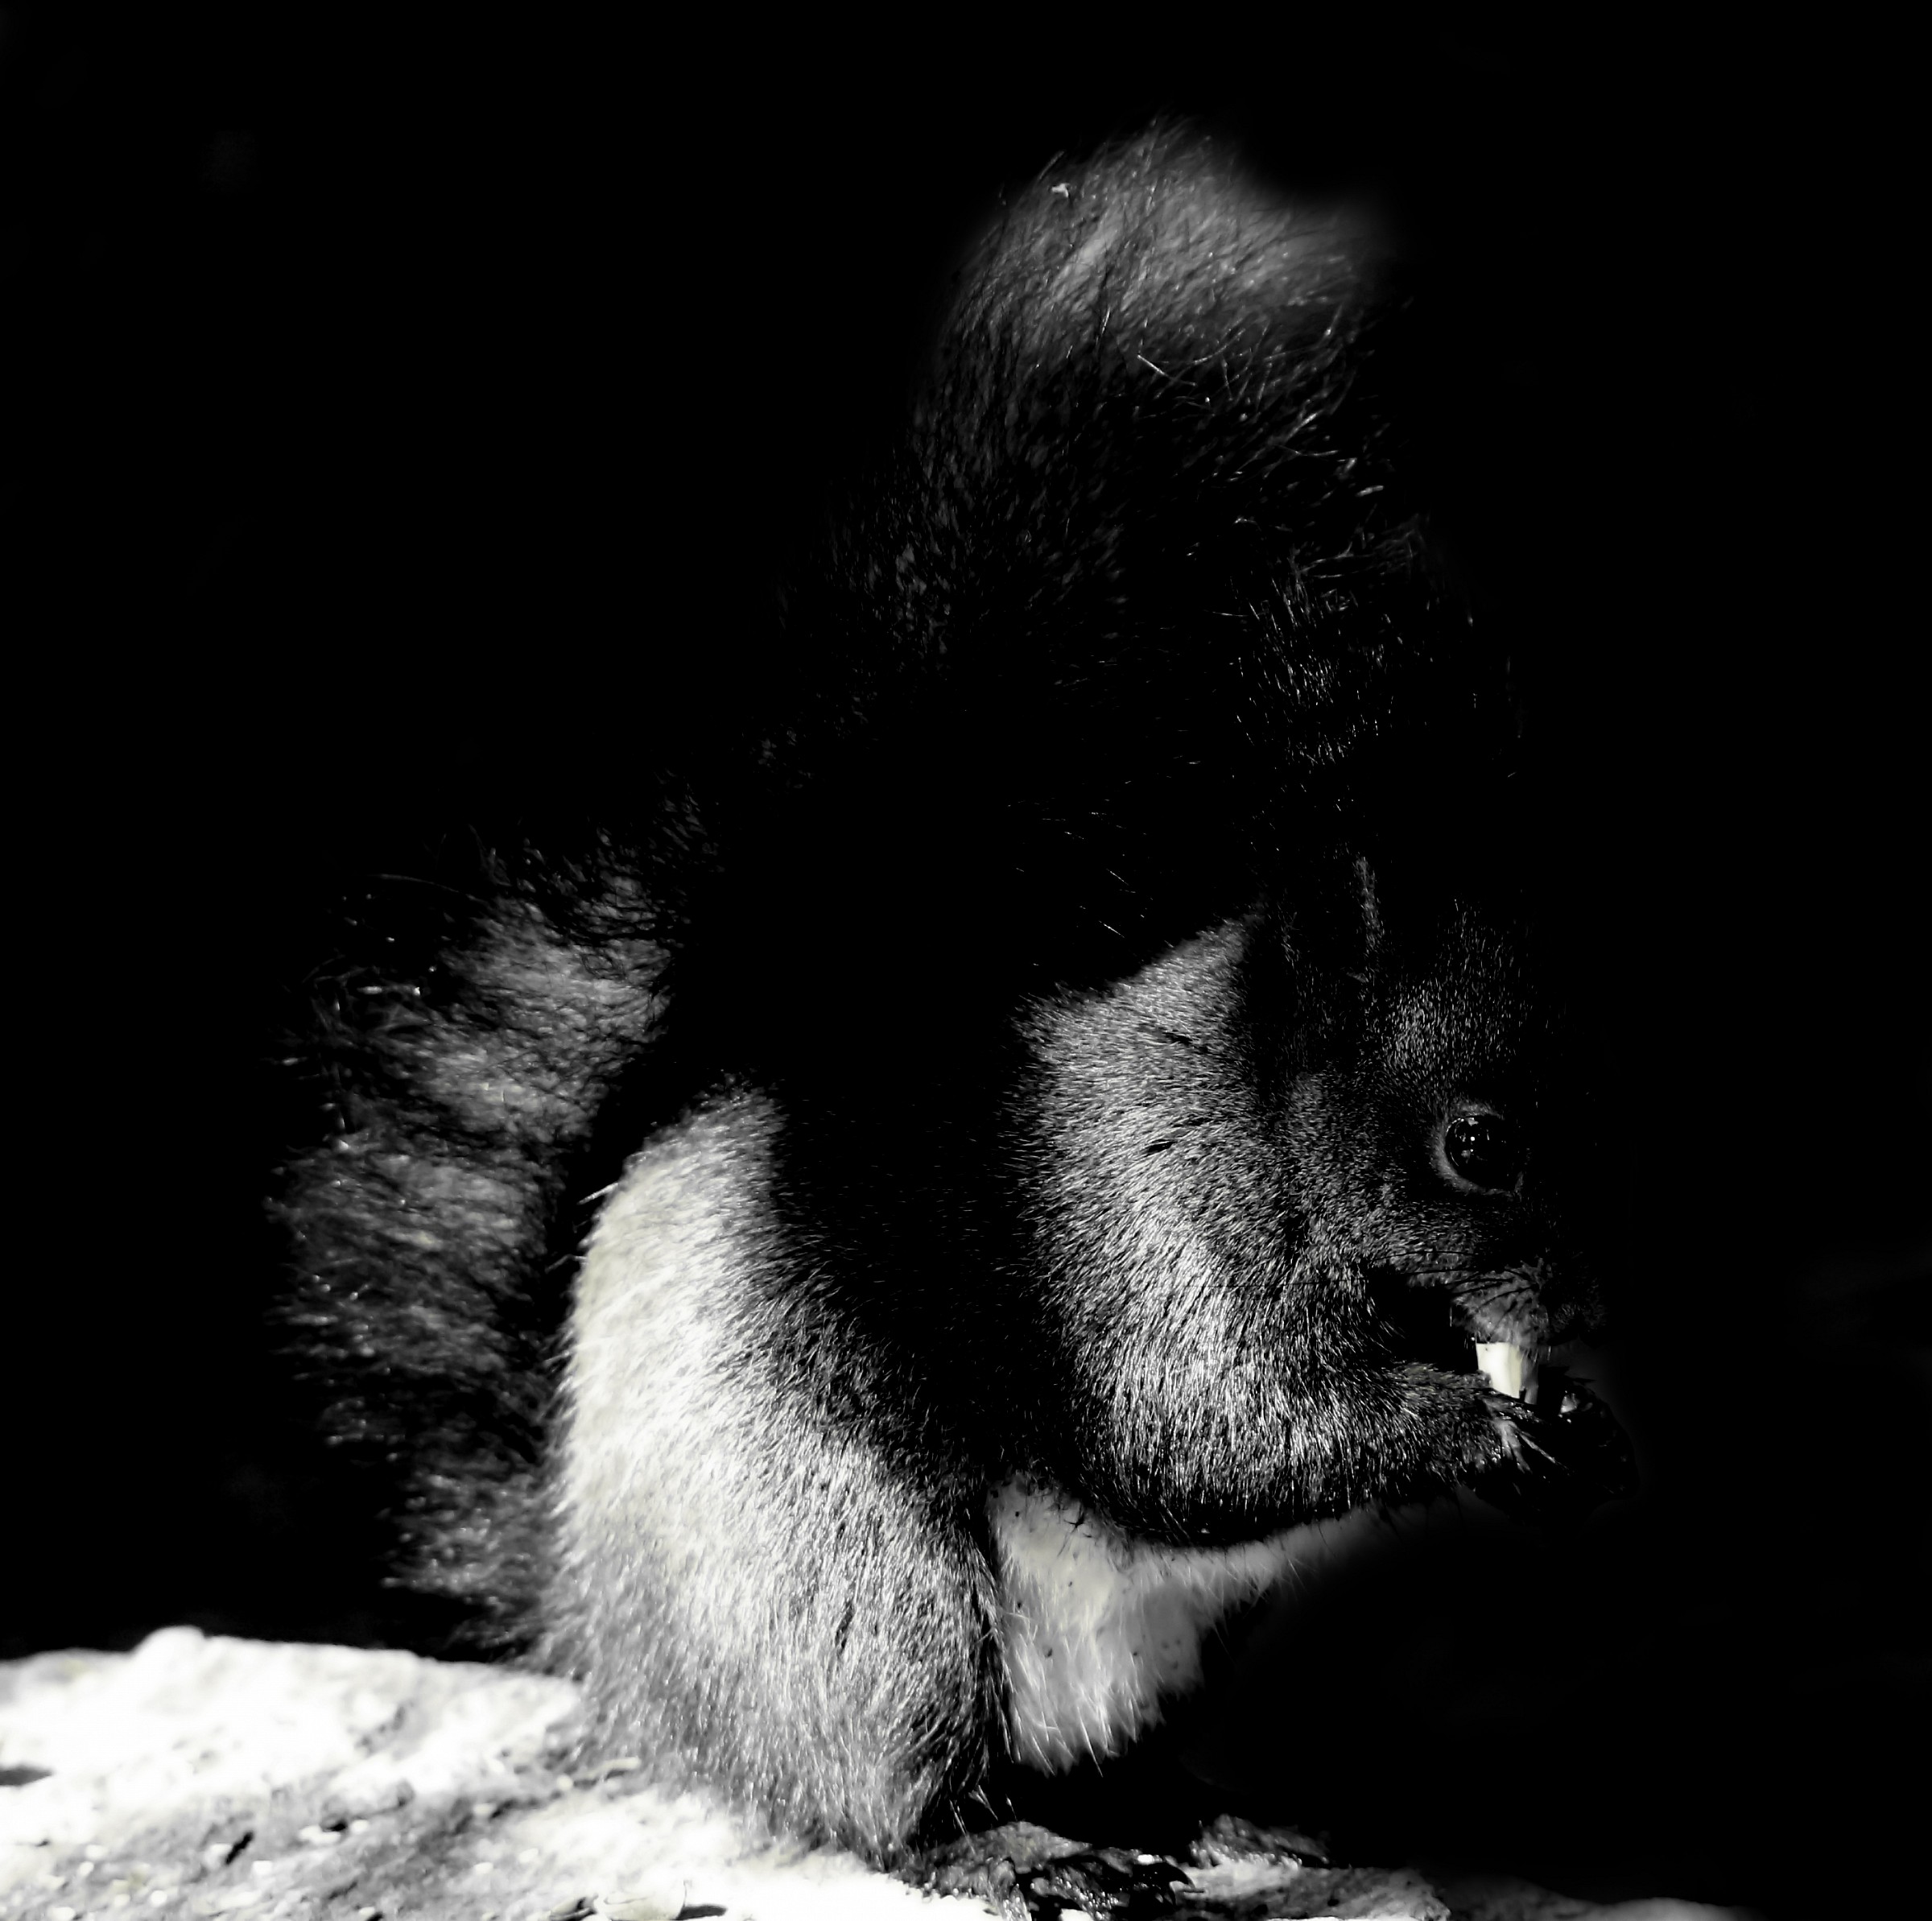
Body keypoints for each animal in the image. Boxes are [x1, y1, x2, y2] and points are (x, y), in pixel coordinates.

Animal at [281, 127, 1633, 1876]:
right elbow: (1202, 1437)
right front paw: (1489, 1433)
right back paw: (1000, 1844)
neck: (1259, 1108)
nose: (1591, 1311)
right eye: (1478, 1143)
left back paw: (1173, 1806)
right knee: (879, 1784)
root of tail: (608, 1633)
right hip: (860, 1568)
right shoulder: (1134, 1244)